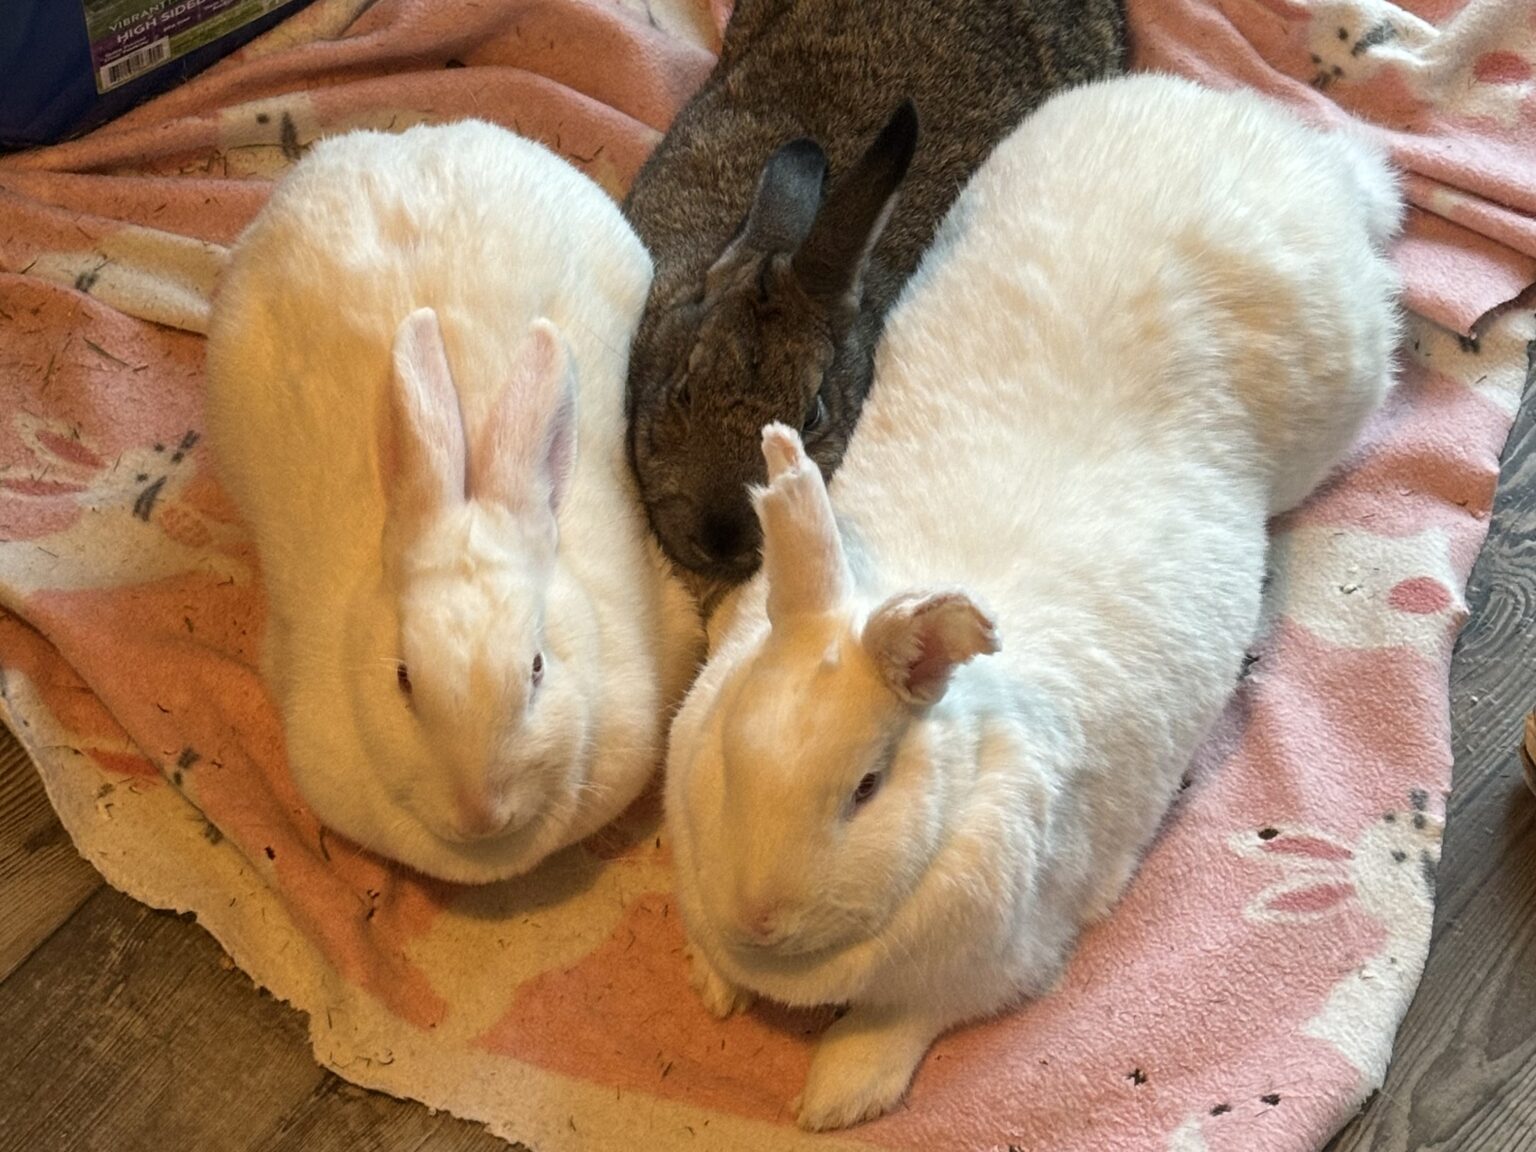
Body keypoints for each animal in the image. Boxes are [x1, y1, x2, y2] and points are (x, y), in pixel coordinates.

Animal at [664, 73, 1403, 1130]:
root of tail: (1295, 149)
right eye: (729, 758)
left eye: (868, 787)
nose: (761, 917)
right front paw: (716, 980)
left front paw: (836, 1097)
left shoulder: (993, 967)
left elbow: (900, 1025)